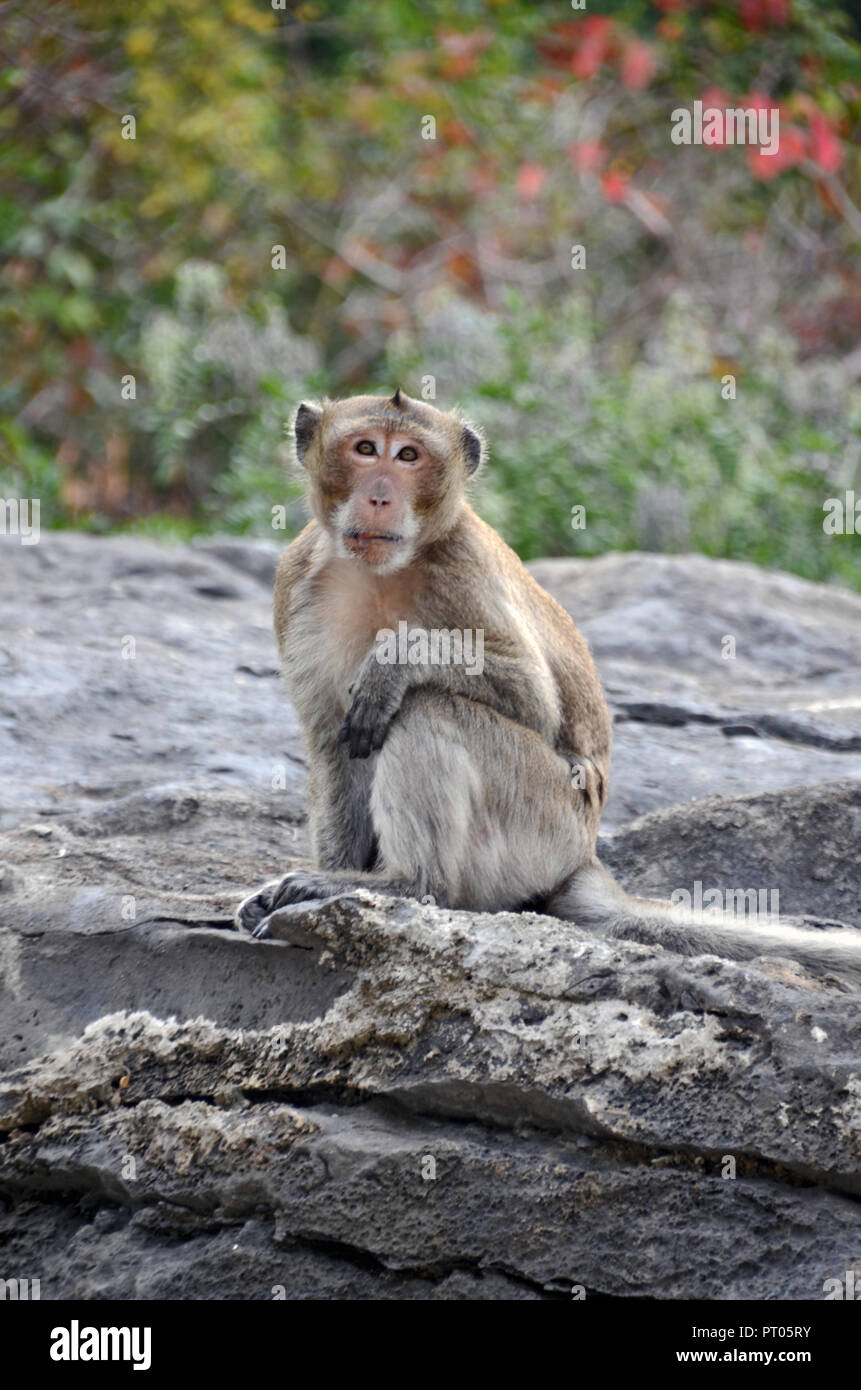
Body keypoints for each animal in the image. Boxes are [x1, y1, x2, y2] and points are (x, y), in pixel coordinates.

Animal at [236, 386, 861, 984]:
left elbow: (533, 697)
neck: (381, 573)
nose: (380, 496)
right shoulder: (297, 579)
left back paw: (409, 884)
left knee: (430, 707)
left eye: (409, 456)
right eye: (366, 449)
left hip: (543, 821)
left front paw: (393, 662)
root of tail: (582, 856)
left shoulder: (464, 569)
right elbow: (329, 742)